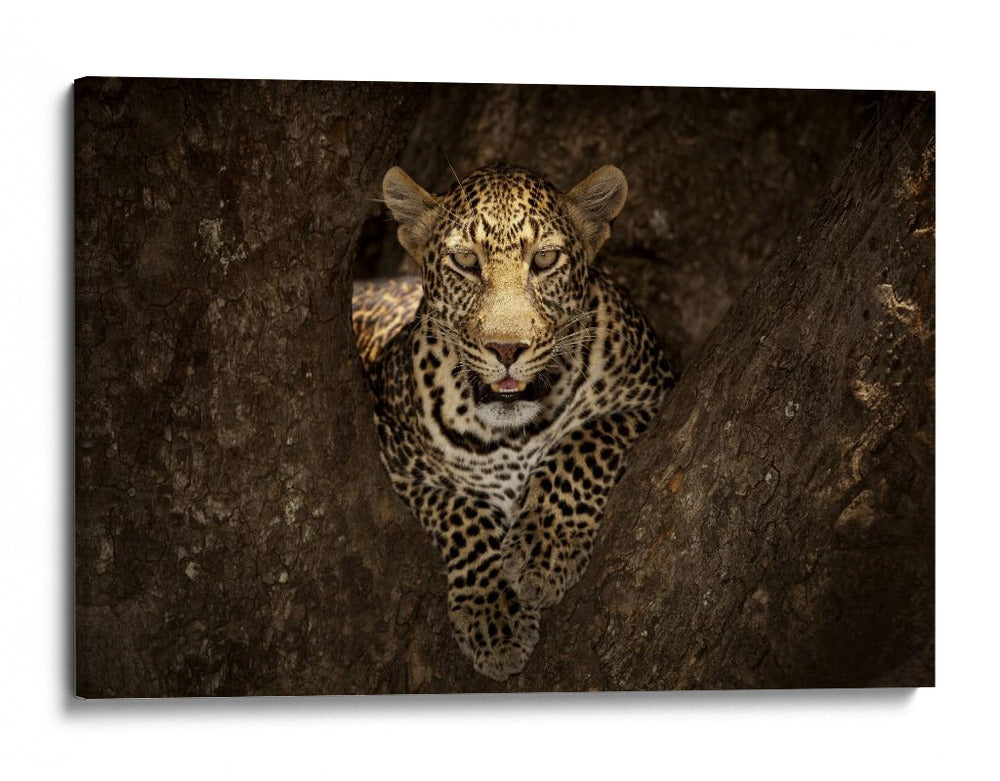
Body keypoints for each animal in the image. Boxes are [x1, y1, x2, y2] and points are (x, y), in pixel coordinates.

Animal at [351, 162, 675, 681]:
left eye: (544, 259)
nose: (506, 349)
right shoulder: (398, 461)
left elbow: (582, 442)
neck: (511, 435)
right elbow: (461, 511)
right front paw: (494, 616)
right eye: (465, 260)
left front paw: (544, 548)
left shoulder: (651, 394)